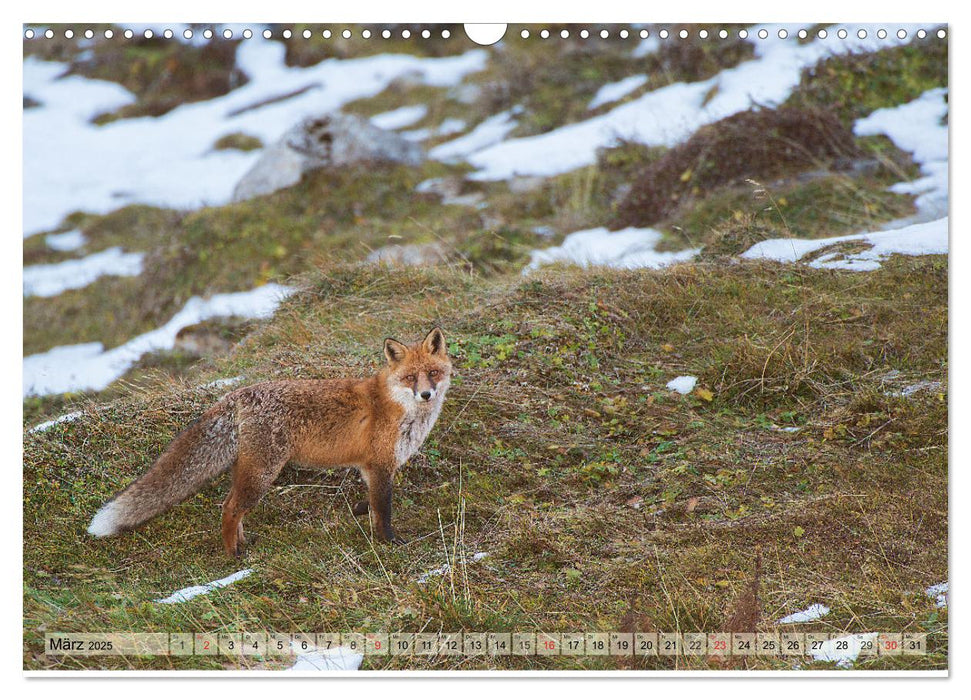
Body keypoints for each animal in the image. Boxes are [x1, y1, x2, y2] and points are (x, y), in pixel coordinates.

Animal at [87, 330, 452, 556]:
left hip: (248, 470)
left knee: (233, 507)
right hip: (263, 473)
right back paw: (233, 554)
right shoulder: (380, 465)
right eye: (410, 378)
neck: (398, 407)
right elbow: (384, 510)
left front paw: (362, 513)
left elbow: (372, 505)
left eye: (433, 374)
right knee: (230, 508)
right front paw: (390, 542)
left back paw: (243, 543)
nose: (426, 394)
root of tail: (237, 393)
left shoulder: (369, 468)